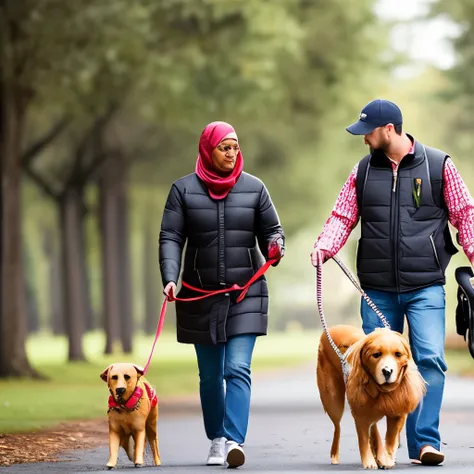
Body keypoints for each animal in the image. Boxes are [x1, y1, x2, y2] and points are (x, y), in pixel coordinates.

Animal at [316, 324, 424, 468]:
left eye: (398, 354)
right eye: (376, 355)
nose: (387, 371)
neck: (381, 390)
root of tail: (332, 329)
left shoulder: (398, 412)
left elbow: (391, 439)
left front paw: (386, 459)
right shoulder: (360, 412)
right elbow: (363, 438)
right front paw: (369, 462)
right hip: (333, 400)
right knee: (337, 427)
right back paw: (335, 456)